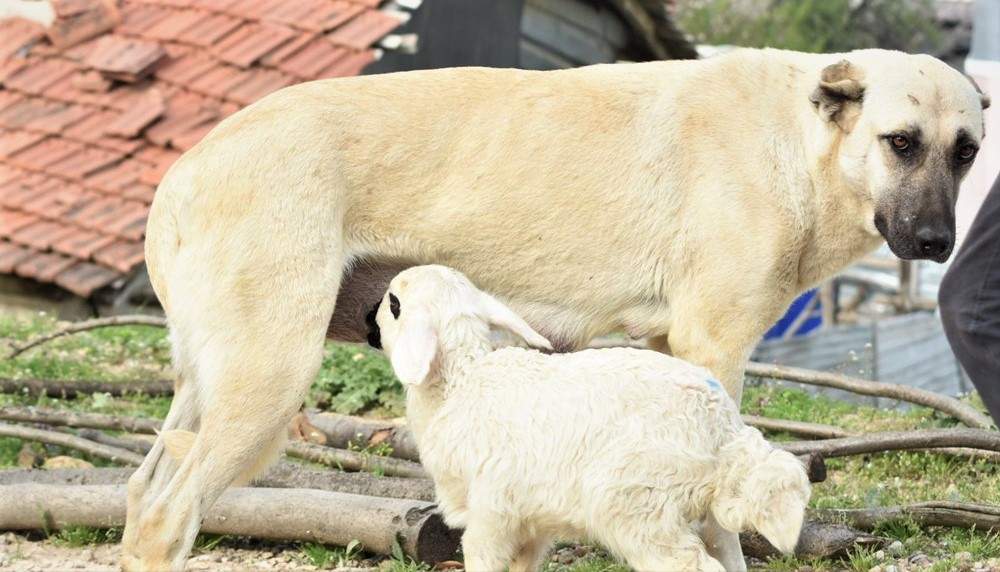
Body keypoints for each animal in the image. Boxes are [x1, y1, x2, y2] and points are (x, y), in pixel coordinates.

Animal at [376, 266, 812, 572]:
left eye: (393, 304)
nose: (369, 317)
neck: (461, 382)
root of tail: (723, 430)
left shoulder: (491, 512)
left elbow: (482, 558)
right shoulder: (531, 520)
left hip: (638, 504)